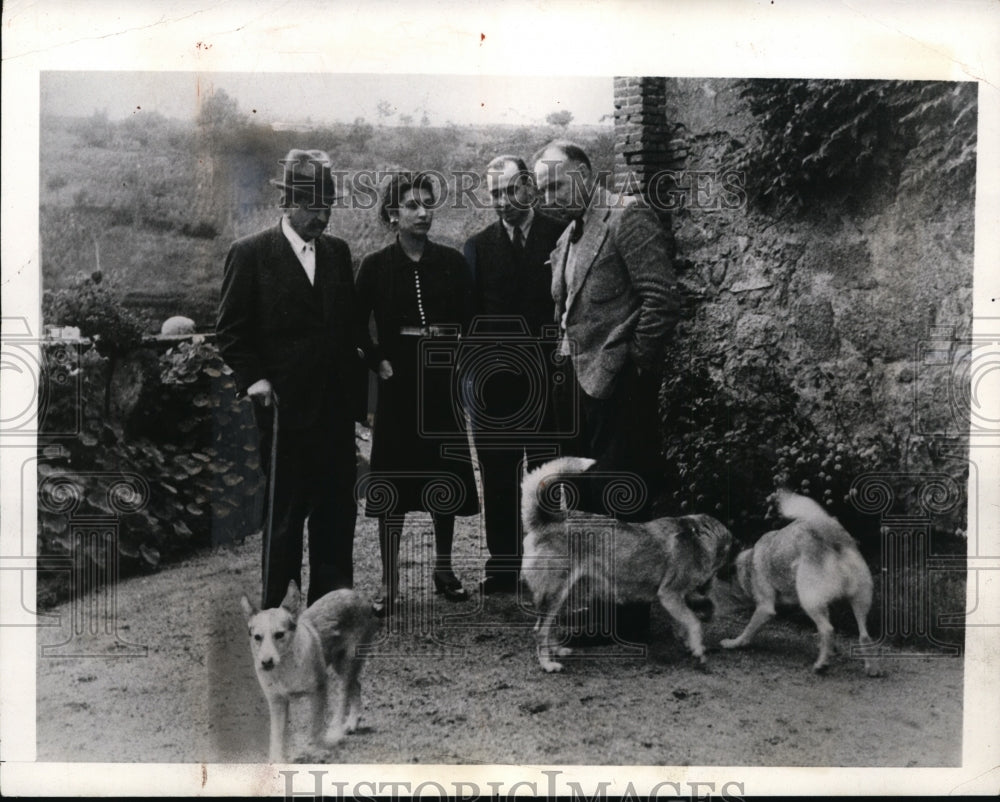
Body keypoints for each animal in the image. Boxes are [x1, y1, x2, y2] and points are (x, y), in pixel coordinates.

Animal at [240, 580, 376, 760]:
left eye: (279, 634)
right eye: (257, 637)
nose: (266, 662)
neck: (286, 666)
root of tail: (358, 595)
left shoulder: (319, 691)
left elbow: (315, 728)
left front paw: (315, 749)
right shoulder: (277, 702)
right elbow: (277, 737)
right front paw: (277, 759)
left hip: (347, 664)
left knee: (343, 697)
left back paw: (336, 730)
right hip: (340, 666)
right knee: (356, 686)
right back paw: (352, 723)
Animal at [520, 456, 732, 668]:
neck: (699, 535)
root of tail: (547, 520)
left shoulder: (677, 601)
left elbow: (684, 623)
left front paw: (689, 644)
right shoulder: (669, 595)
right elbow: (694, 623)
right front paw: (698, 649)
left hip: (566, 594)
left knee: (548, 628)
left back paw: (557, 651)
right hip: (556, 593)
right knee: (540, 630)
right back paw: (548, 664)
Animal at [720, 488, 884, 676]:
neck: (748, 562)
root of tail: (831, 535)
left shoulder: (764, 608)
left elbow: (748, 630)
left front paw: (735, 643)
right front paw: (831, 650)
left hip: (809, 599)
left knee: (828, 629)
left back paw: (821, 665)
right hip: (859, 600)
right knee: (863, 634)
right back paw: (871, 668)